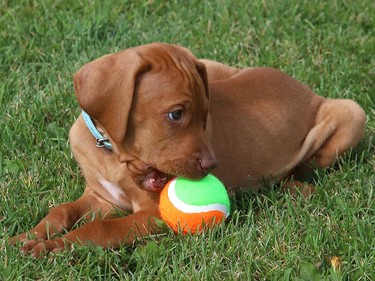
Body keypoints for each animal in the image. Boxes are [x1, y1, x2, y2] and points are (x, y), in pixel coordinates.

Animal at [8, 42, 368, 256]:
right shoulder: (101, 197)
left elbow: (101, 229)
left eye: (206, 115)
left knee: (309, 164)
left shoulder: (153, 215)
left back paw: (294, 188)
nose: (212, 165)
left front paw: (51, 247)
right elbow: (62, 210)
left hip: (353, 113)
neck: (110, 151)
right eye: (176, 115)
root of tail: (306, 89)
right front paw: (27, 237)